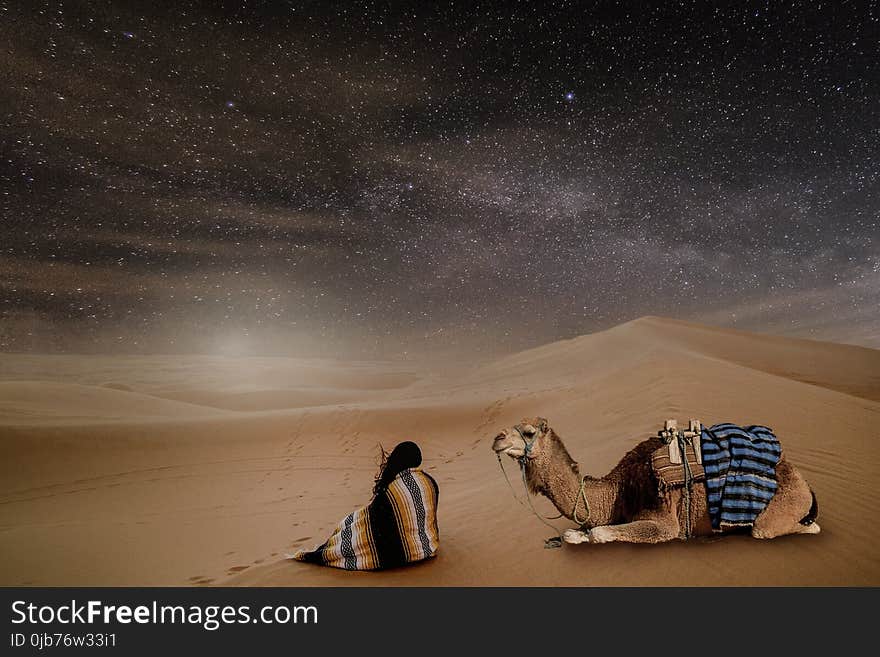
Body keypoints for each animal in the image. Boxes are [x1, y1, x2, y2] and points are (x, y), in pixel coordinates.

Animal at [492, 416, 820, 544]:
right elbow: (575, 534)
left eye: (528, 432)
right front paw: (575, 535)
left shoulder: (664, 521)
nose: (497, 438)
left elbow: (599, 533)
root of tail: (803, 482)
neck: (618, 491)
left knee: (777, 529)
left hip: (782, 506)